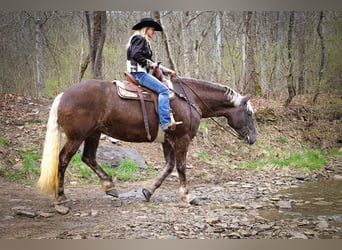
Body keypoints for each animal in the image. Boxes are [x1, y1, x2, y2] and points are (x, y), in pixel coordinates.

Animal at [37, 73, 256, 206]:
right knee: (63, 159)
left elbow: (169, 167)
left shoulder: (169, 140)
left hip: (93, 133)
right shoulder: (182, 139)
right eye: (249, 113)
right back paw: (61, 197)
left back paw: (110, 186)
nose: (253, 138)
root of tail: (64, 95)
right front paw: (187, 195)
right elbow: (181, 167)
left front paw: (148, 192)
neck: (189, 99)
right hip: (77, 137)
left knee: (88, 158)